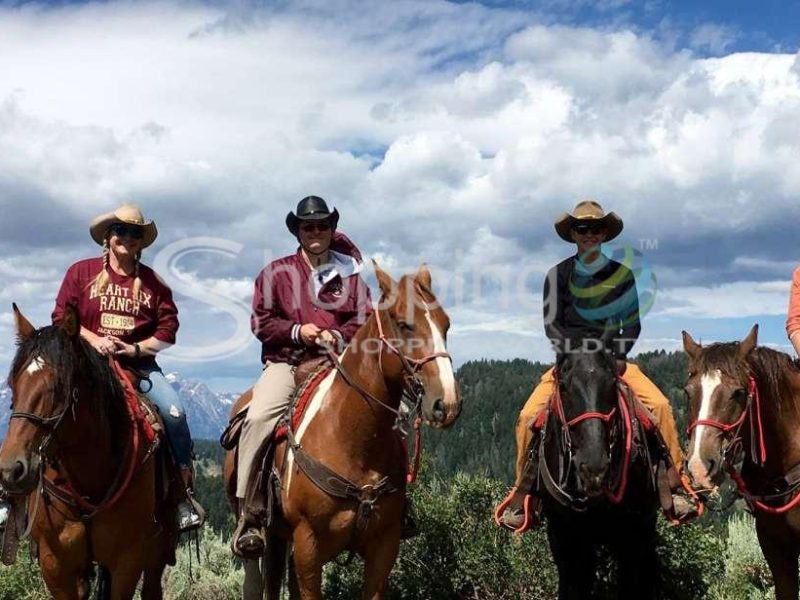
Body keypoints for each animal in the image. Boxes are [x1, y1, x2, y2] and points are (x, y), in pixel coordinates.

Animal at [0, 308, 177, 596]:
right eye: (12, 384)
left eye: (58, 386)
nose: (10, 470)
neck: (89, 482)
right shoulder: (55, 565)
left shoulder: (128, 561)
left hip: (157, 552)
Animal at [225, 264, 462, 600]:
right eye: (404, 325)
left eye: (446, 324)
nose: (447, 403)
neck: (353, 440)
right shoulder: (308, 546)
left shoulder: (383, 547)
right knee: (255, 580)